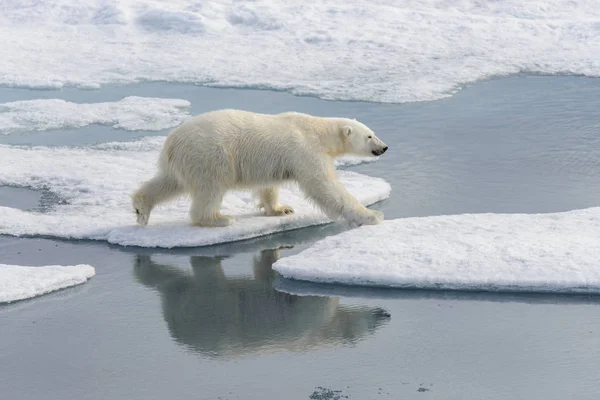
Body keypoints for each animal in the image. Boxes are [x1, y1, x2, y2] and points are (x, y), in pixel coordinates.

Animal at [131, 109, 390, 228]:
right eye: (369, 136)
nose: (384, 147)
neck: (317, 130)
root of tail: (171, 142)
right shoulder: (305, 150)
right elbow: (326, 186)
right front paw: (372, 216)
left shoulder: (274, 161)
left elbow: (269, 186)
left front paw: (281, 209)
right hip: (209, 155)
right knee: (210, 187)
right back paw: (219, 219)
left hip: (185, 161)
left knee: (169, 182)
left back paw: (141, 208)